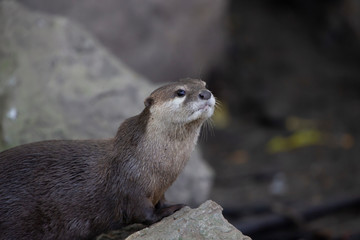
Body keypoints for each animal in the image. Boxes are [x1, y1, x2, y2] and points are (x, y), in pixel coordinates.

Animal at [0, 79, 214, 240]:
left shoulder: (158, 189)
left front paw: (171, 205)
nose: (206, 93)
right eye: (180, 92)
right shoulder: (129, 187)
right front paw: (171, 210)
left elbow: (160, 201)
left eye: (203, 84)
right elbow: (144, 213)